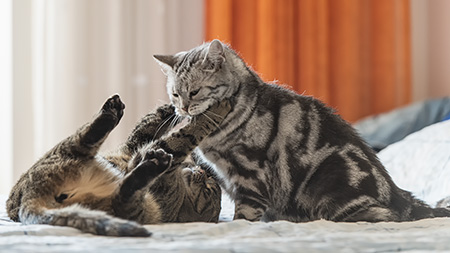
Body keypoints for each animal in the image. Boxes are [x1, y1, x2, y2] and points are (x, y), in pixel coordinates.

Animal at [6, 94, 230, 236]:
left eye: (208, 190)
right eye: (209, 184)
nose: (203, 171)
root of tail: (31, 197)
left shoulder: (156, 155)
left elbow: (188, 134)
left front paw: (218, 109)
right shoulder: (135, 145)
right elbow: (149, 124)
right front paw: (174, 105)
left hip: (130, 207)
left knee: (123, 192)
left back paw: (152, 163)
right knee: (87, 139)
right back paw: (112, 110)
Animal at [154, 38, 450, 222]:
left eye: (194, 92)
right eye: (175, 94)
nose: (182, 109)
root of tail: (399, 194)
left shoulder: (250, 177)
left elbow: (244, 216)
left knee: (381, 216)